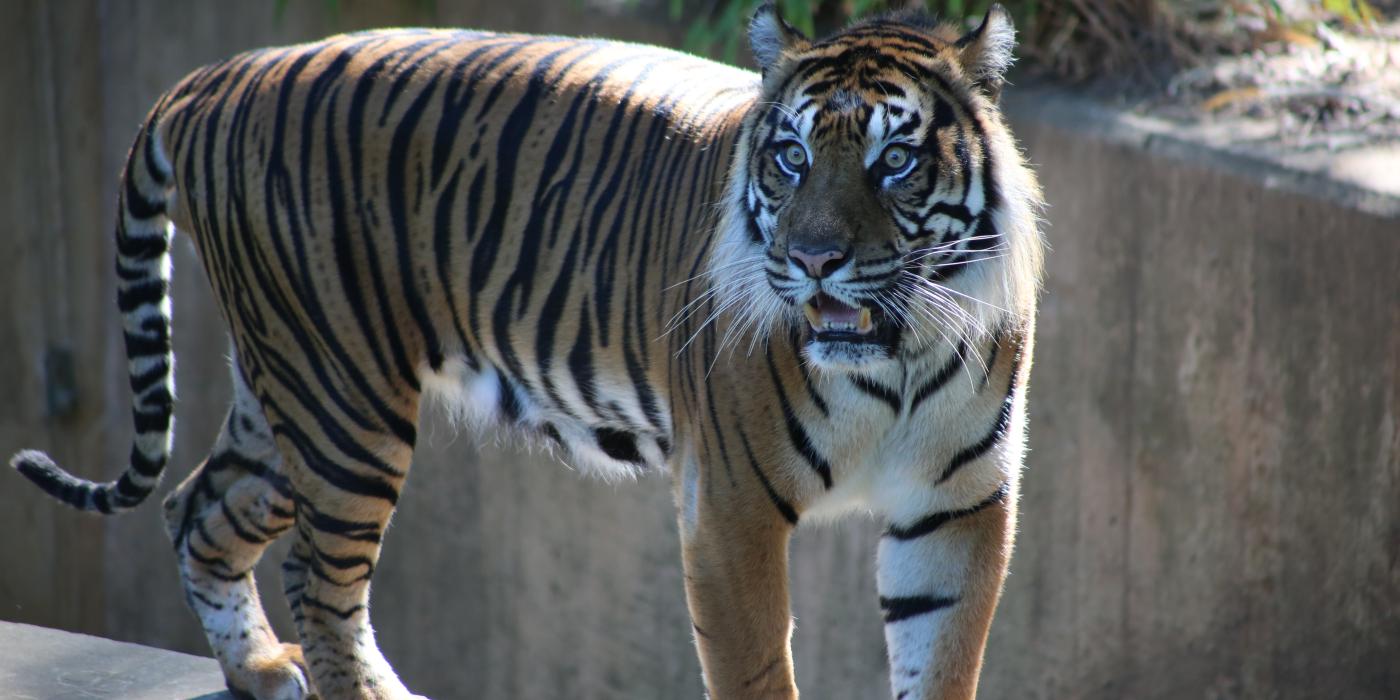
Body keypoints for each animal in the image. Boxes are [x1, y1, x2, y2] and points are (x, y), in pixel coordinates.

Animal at [10, 2, 1047, 697]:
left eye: (895, 161)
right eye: (790, 157)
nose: (813, 258)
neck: (896, 355)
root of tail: (217, 76)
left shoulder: (958, 505)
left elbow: (941, 662)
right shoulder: (731, 509)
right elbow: (756, 668)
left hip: (285, 401)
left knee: (197, 510)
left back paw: (262, 667)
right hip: (343, 405)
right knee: (317, 575)